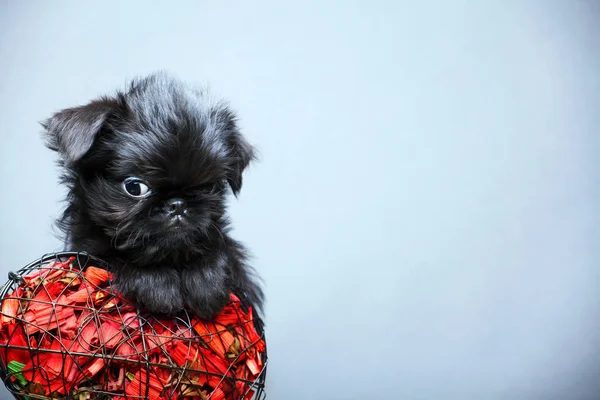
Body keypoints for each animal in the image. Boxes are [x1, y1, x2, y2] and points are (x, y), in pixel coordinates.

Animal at [42, 73, 262, 320]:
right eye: (135, 187)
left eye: (209, 187)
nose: (177, 204)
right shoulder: (85, 252)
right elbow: (111, 257)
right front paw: (158, 284)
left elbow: (223, 250)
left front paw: (206, 281)